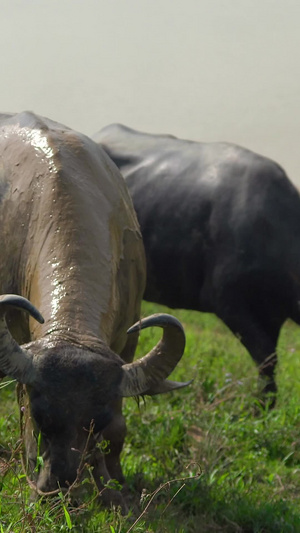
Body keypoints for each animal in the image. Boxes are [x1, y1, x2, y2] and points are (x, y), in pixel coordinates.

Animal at [0, 112, 188, 508]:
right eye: (42, 415)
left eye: (95, 422)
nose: (57, 485)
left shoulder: (128, 342)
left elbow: (120, 427)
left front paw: (110, 480)